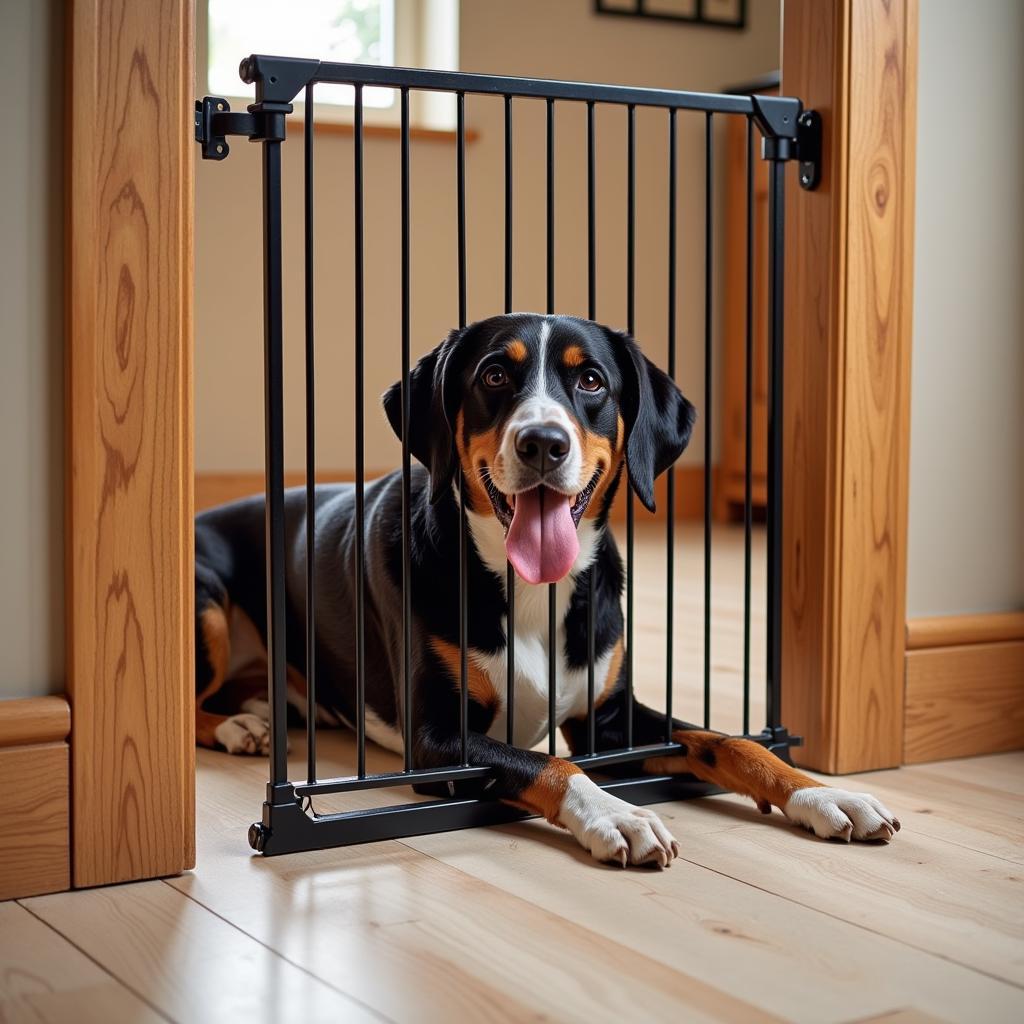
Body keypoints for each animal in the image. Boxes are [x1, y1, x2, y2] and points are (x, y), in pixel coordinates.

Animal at [192, 311, 897, 864]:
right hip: (208, 608)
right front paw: (618, 815)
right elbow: (551, 765)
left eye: (591, 380)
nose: (543, 443)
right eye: (494, 376)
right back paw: (239, 728)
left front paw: (824, 793)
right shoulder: (439, 741)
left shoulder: (610, 718)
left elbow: (729, 742)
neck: (536, 592)